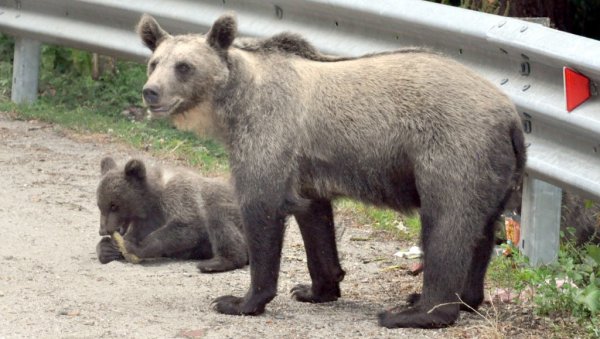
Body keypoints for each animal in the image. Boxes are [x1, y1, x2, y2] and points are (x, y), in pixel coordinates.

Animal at [135, 13, 524, 330]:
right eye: (154, 62)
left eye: (184, 66)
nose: (150, 92)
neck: (232, 105)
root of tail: (511, 116)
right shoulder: (306, 167)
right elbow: (315, 220)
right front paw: (313, 288)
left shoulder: (269, 135)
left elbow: (262, 209)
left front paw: (239, 300)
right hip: (495, 171)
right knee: (482, 231)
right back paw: (462, 299)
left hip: (452, 150)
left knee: (446, 224)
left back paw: (413, 312)